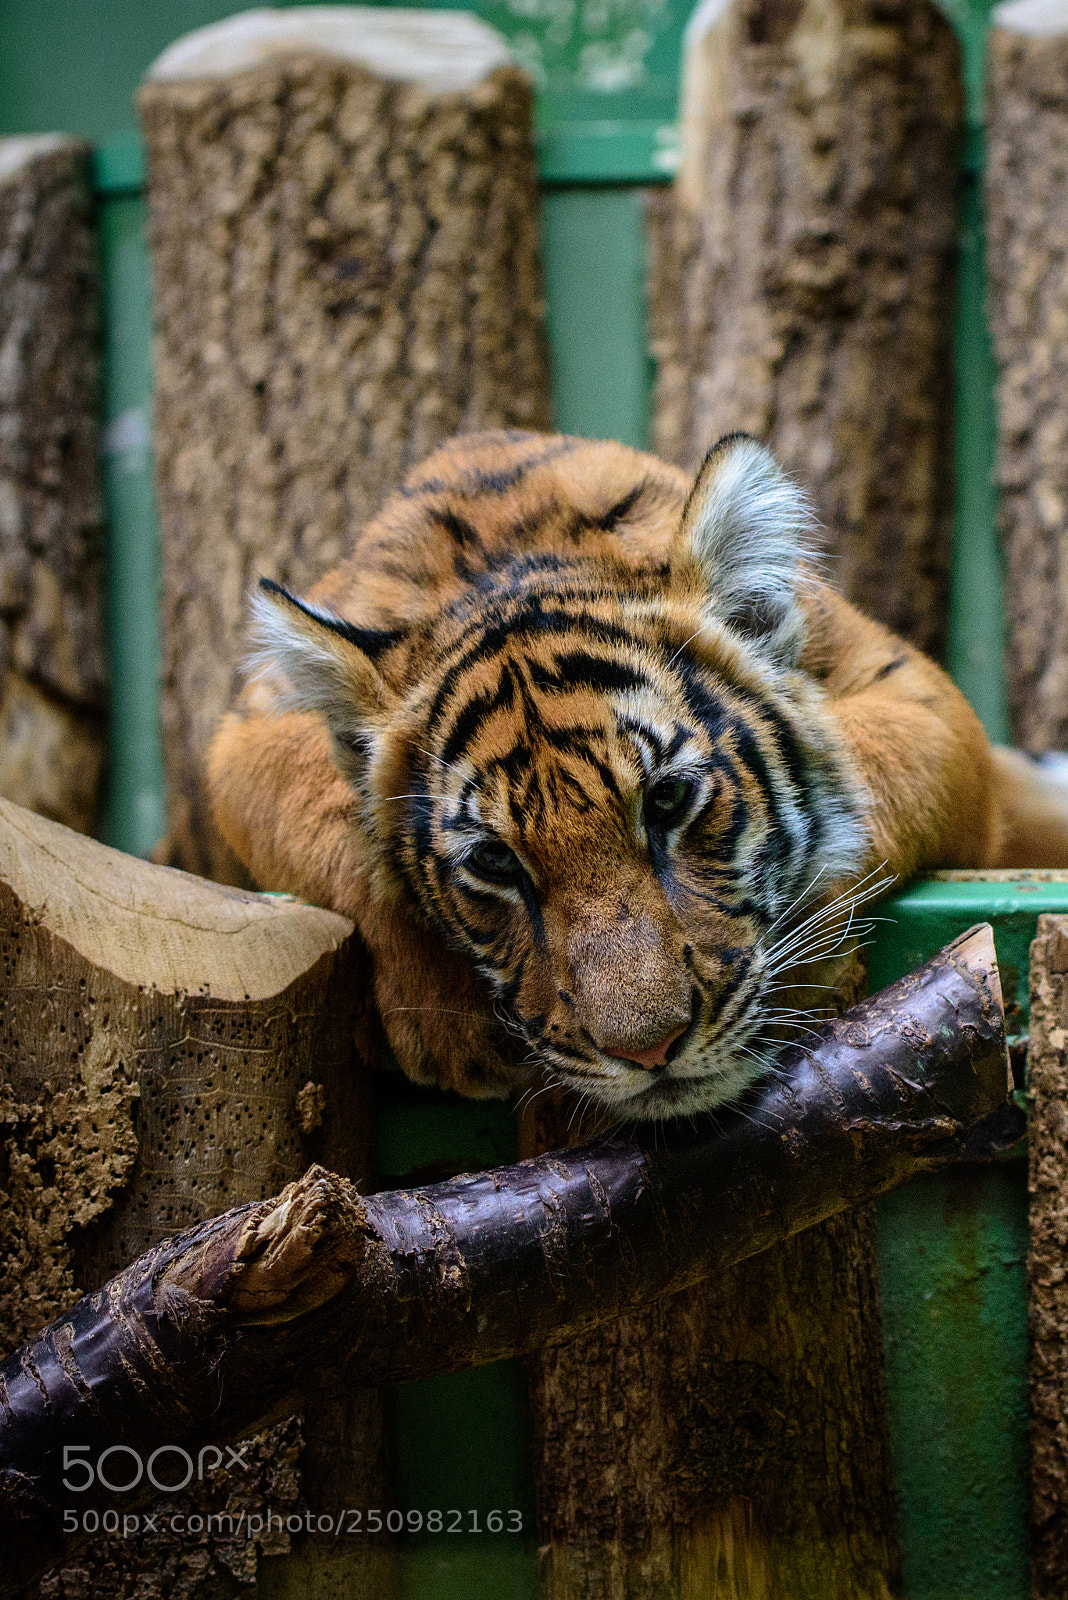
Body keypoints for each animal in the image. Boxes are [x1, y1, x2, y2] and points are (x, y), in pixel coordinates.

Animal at [207, 428, 1068, 1119]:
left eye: (668, 800)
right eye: (494, 861)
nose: (649, 1052)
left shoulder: (915, 693)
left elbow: (865, 769)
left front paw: (815, 953)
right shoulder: (246, 734)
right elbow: (320, 811)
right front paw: (443, 1014)